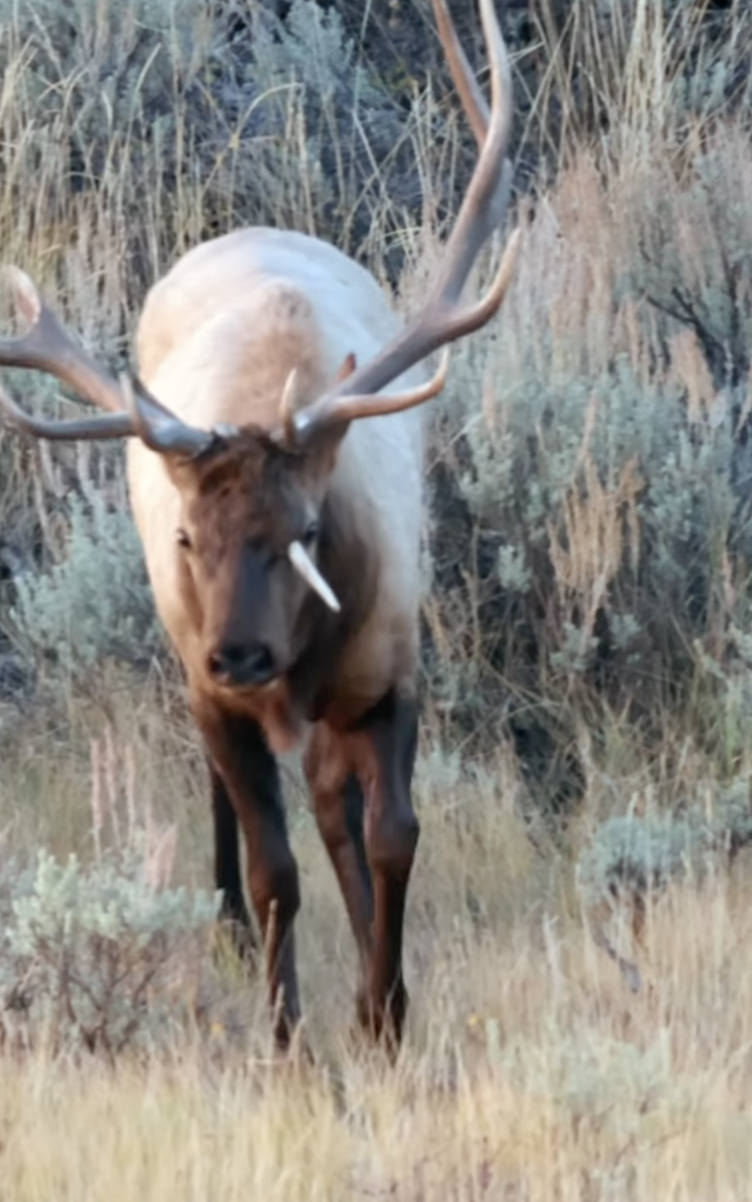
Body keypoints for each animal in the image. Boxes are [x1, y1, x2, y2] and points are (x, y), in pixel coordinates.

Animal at [0, 0, 514, 1048]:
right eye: (188, 536)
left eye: (305, 531)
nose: (241, 652)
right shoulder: (214, 686)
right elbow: (277, 869)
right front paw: (287, 1034)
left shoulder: (391, 669)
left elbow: (392, 835)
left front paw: (382, 1010)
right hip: (194, 667)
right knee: (230, 795)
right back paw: (230, 925)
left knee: (328, 800)